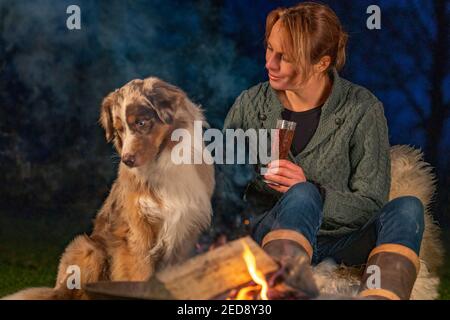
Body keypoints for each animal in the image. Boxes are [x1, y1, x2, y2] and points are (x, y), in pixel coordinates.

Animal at [3, 77, 214, 300]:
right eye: (119, 129)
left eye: (141, 122)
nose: (127, 160)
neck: (163, 164)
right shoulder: (136, 234)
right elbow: (140, 276)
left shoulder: (185, 233)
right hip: (88, 247)